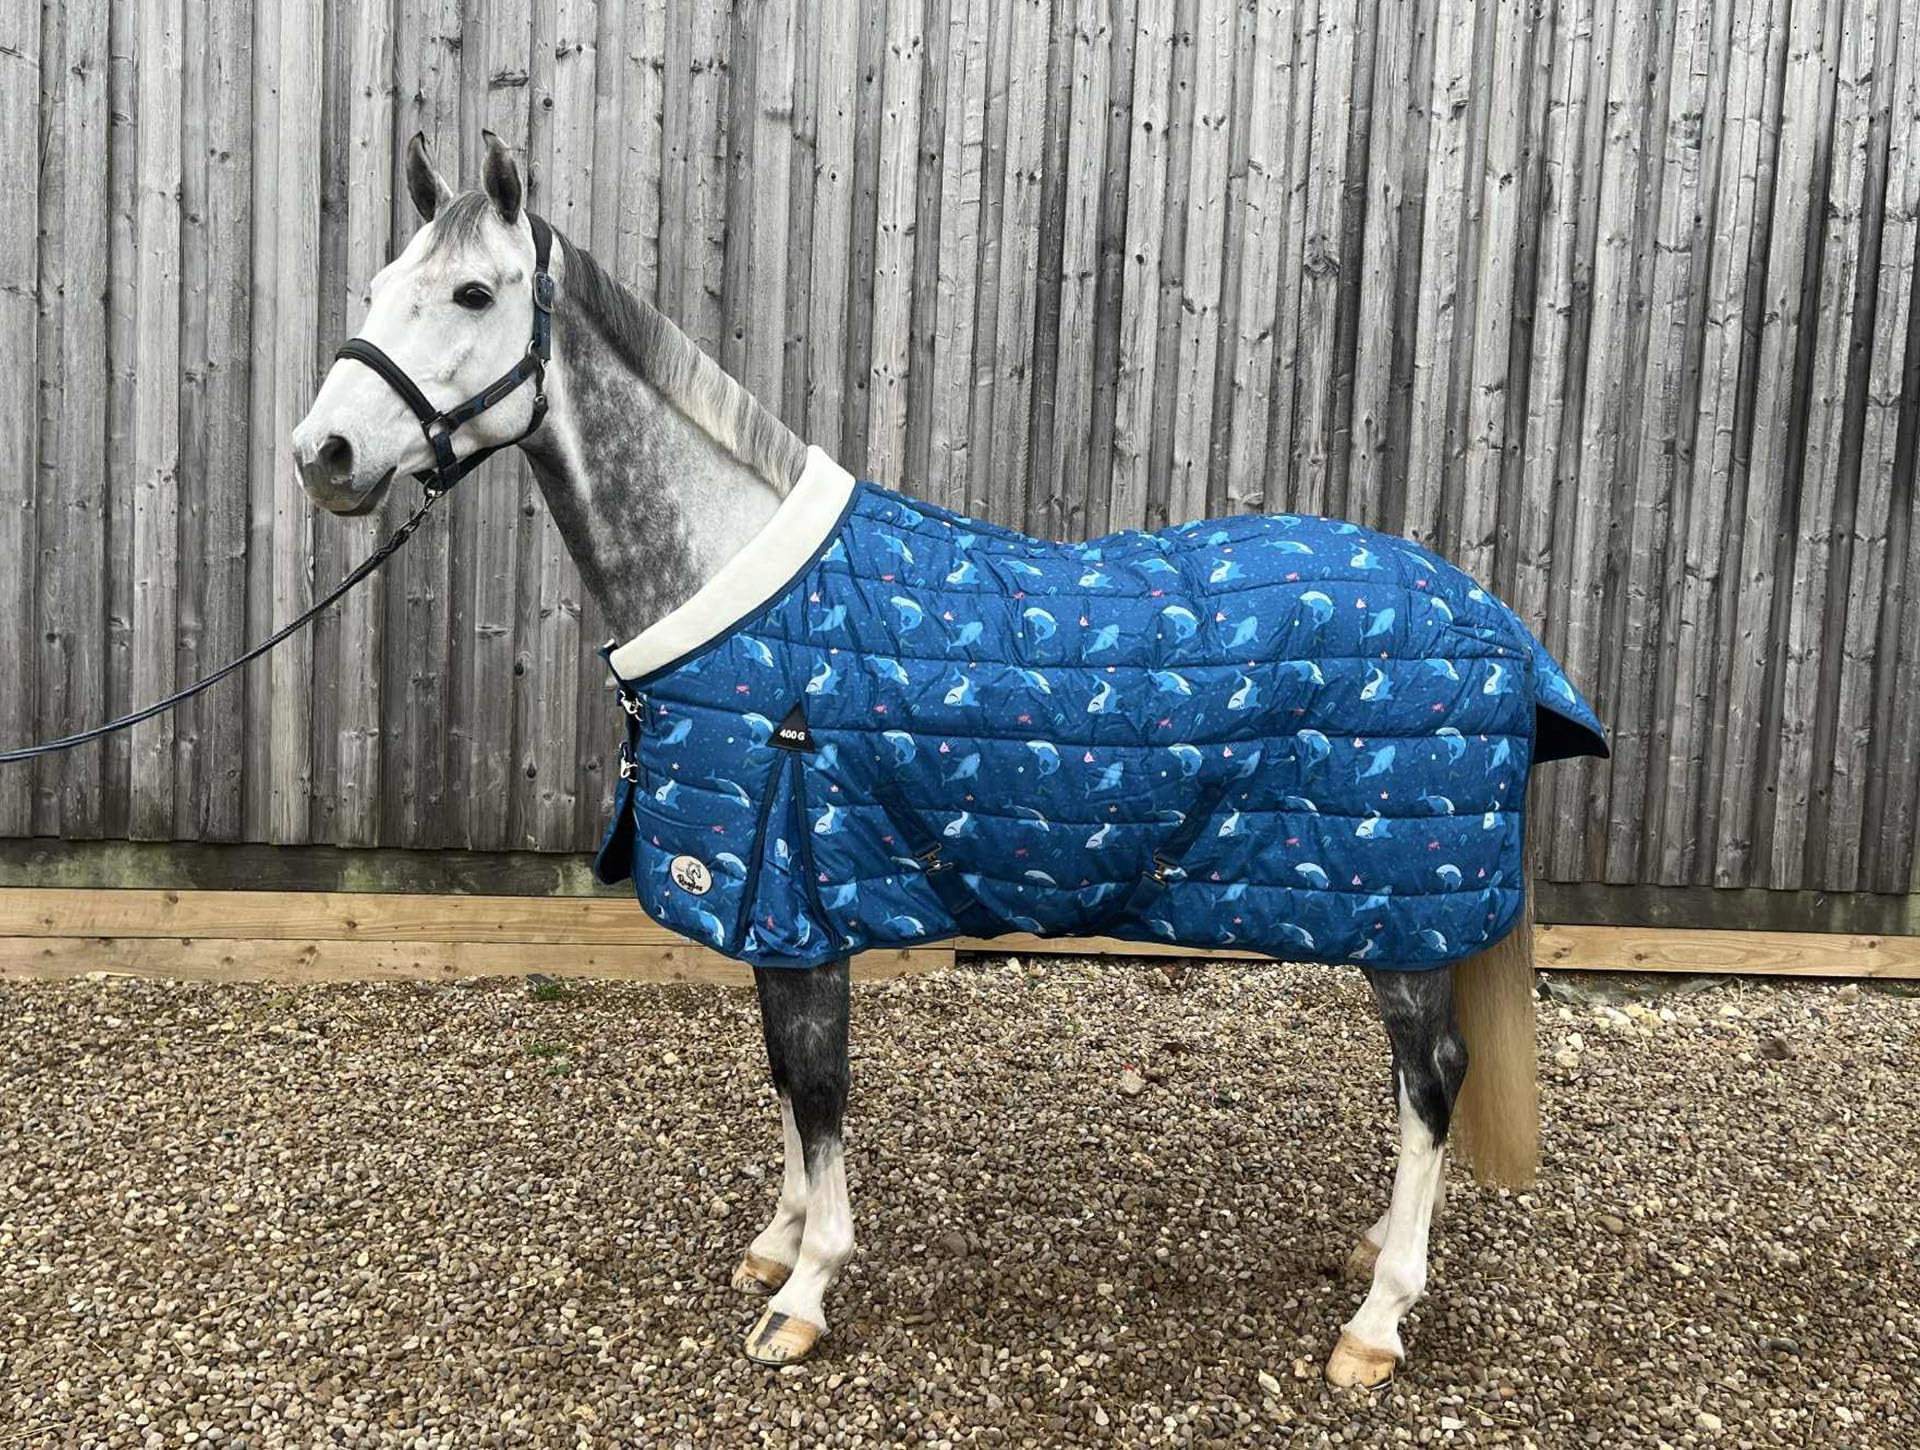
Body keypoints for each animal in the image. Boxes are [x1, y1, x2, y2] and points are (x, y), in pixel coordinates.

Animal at [292, 133, 1595, 1387]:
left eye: (474, 291)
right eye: (379, 286)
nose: (325, 454)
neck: (741, 588)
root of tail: (1499, 623)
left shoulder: (799, 889)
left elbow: (818, 1090)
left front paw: (804, 1292)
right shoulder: (783, 907)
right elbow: (785, 1080)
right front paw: (775, 1238)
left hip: (1402, 922)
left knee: (1431, 1083)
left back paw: (1377, 1323)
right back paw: (1375, 1251)